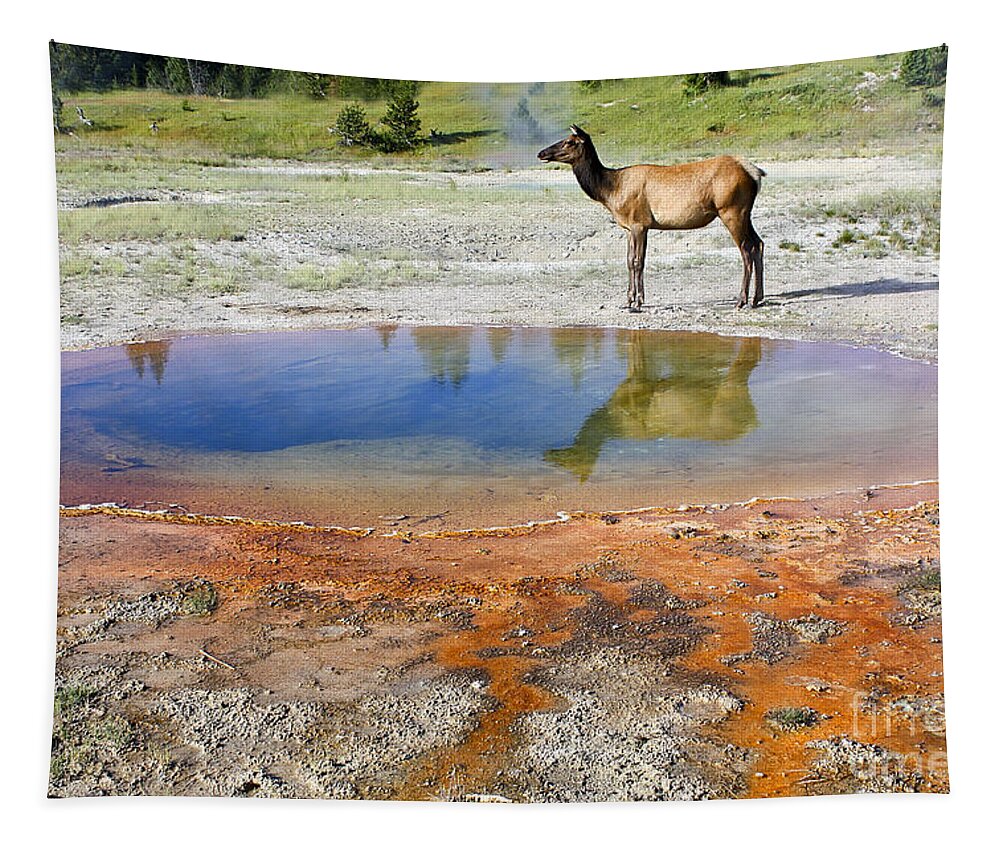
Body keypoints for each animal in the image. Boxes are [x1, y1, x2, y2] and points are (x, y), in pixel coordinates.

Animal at [540, 125, 764, 312]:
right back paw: (757, 298)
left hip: (731, 210)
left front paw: (638, 302)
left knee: (746, 250)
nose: (541, 153)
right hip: (745, 213)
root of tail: (755, 173)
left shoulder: (639, 223)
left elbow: (638, 261)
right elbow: (629, 261)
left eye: (569, 141)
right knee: (758, 244)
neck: (610, 191)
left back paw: (741, 300)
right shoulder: (630, 227)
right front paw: (628, 300)